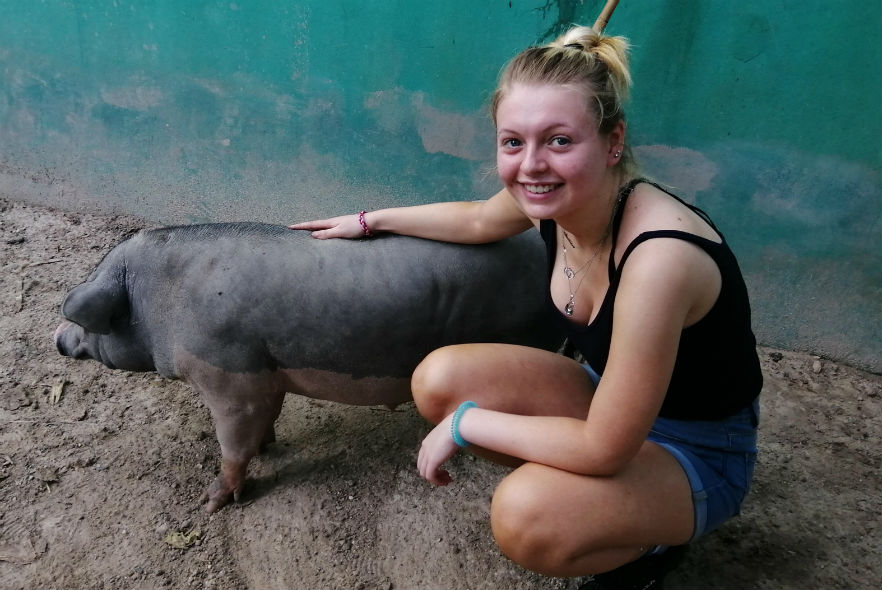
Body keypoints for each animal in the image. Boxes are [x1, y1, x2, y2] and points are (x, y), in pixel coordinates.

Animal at [55, 223, 560, 512]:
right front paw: (268, 446)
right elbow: (268, 416)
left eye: (86, 322)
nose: (58, 340)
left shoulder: (230, 376)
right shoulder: (266, 371)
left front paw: (210, 503)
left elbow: (232, 442)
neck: (159, 300)